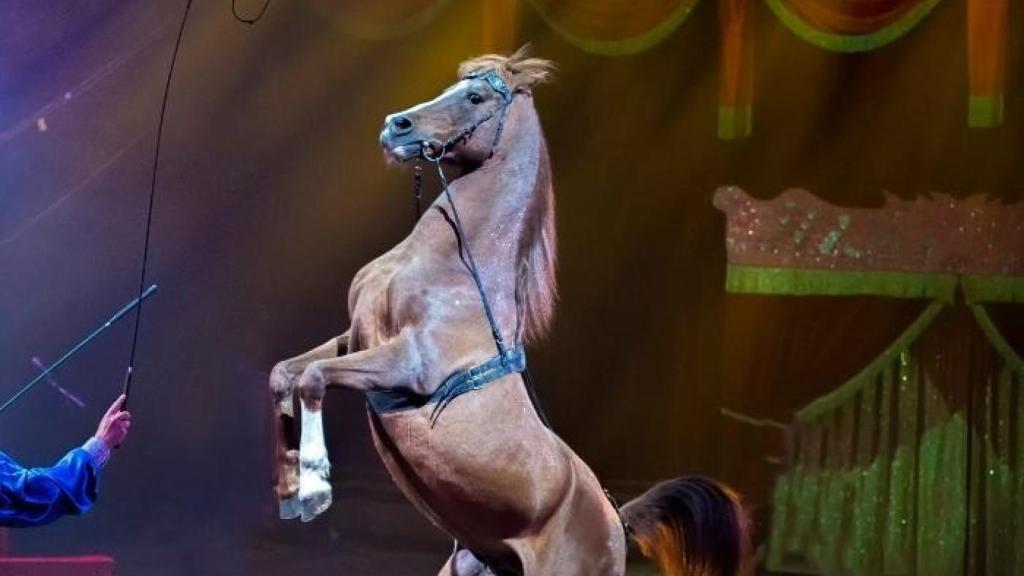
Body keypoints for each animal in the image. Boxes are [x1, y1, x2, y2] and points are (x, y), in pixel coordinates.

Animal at [269, 48, 750, 576]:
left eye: (476, 97)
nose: (396, 125)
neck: (454, 265)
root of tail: (616, 523)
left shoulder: (410, 363)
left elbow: (313, 377)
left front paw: (316, 488)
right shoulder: (352, 337)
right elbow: (285, 374)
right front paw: (289, 491)